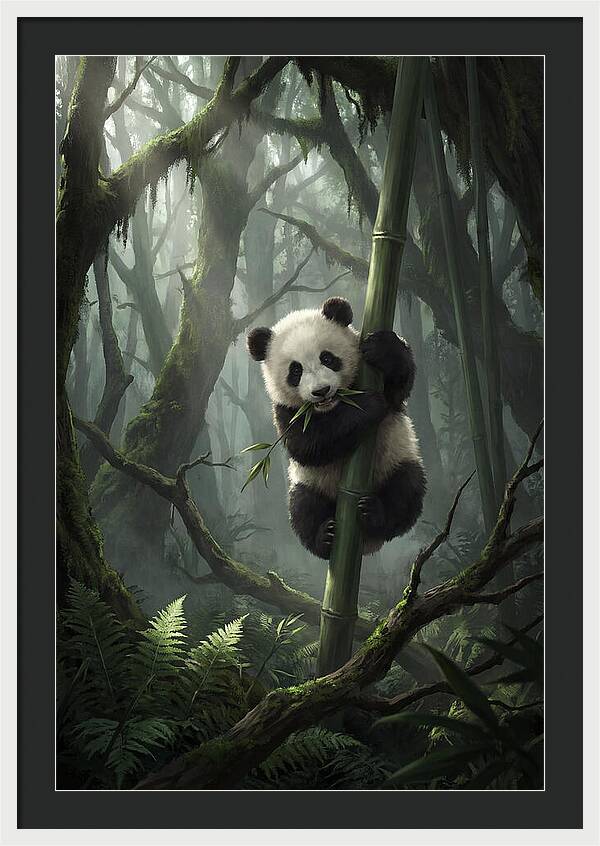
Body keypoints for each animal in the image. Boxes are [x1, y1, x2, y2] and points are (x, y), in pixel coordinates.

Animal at [247, 296, 426, 559]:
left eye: (327, 358)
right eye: (295, 370)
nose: (321, 391)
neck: (333, 406)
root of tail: (367, 545)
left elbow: (398, 387)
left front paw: (383, 349)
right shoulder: (285, 411)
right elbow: (308, 445)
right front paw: (368, 404)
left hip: (396, 459)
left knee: (406, 489)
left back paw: (375, 514)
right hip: (309, 483)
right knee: (303, 508)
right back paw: (325, 537)